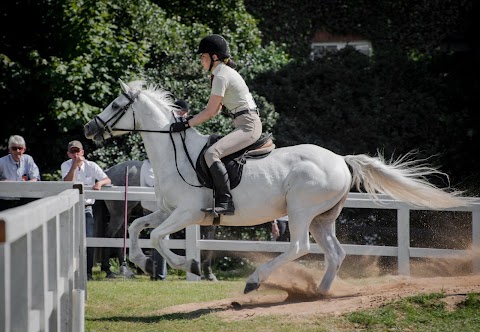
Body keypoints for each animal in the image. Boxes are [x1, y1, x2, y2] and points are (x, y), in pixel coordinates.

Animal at [84, 80, 470, 296]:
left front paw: (185, 264)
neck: (173, 151)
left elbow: (157, 237)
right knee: (335, 254)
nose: (89, 129)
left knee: (299, 247)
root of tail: (340, 159)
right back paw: (318, 294)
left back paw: (256, 281)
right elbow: (137, 228)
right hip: (322, 217)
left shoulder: (188, 213)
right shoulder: (167, 210)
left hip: (300, 211)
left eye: (116, 105)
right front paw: (142, 263)